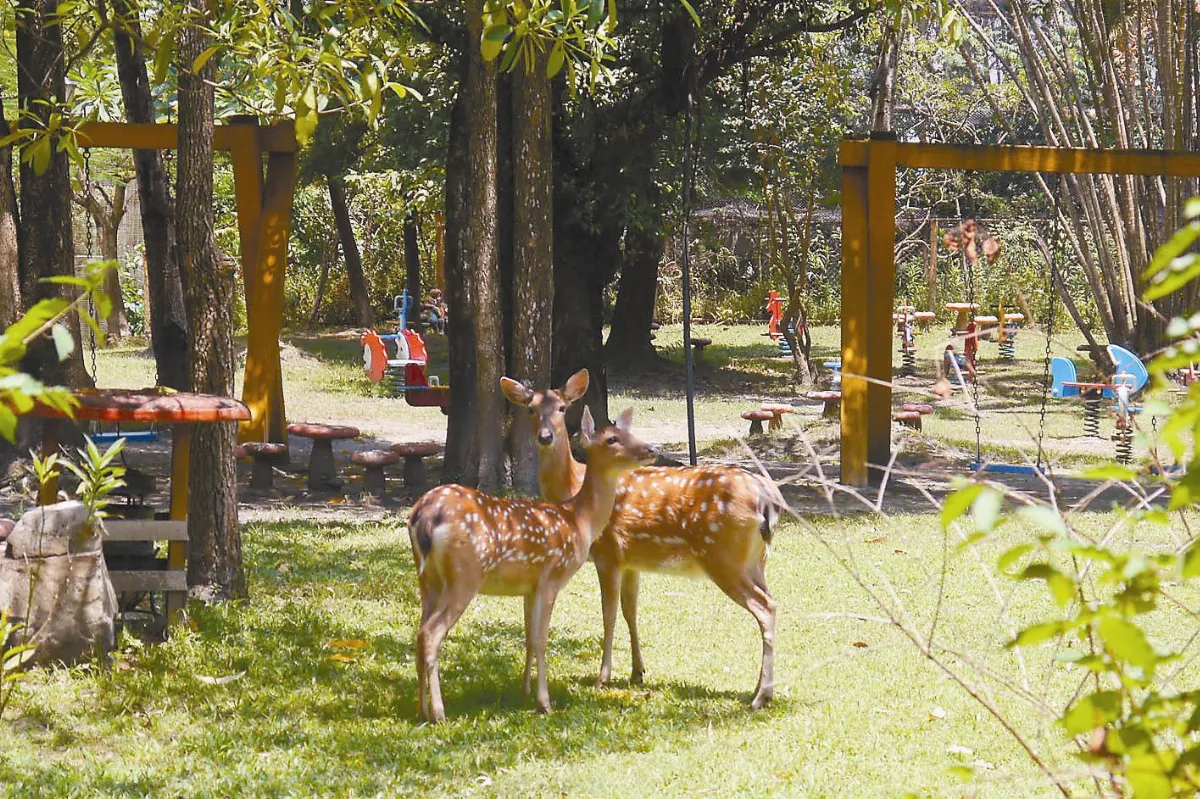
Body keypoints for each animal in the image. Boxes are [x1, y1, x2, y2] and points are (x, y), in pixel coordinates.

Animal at [408, 406, 656, 723]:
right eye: (612, 439)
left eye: (629, 433)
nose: (651, 449)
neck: (579, 520)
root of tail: (424, 516)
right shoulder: (552, 577)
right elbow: (541, 639)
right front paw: (544, 703)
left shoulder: (528, 585)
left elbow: (527, 637)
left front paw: (524, 691)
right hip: (464, 576)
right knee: (431, 634)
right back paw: (439, 713)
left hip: (427, 579)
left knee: (419, 632)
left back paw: (421, 709)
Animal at [502, 369, 785, 709]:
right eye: (530, 409)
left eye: (561, 407)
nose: (546, 437)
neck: (573, 488)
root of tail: (766, 501)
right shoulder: (631, 561)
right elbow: (630, 611)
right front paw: (638, 671)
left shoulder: (608, 553)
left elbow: (609, 614)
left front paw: (603, 678)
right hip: (755, 560)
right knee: (771, 602)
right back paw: (760, 690)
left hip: (723, 556)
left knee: (766, 607)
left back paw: (761, 696)